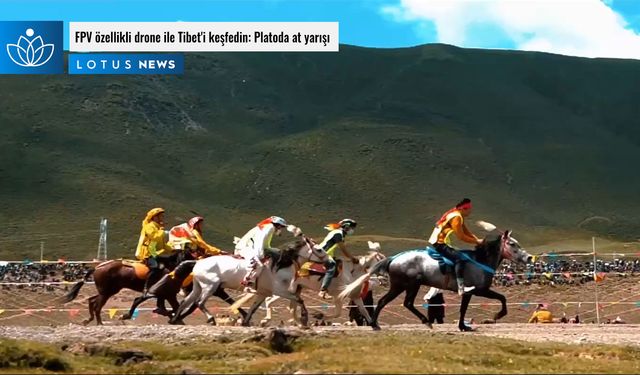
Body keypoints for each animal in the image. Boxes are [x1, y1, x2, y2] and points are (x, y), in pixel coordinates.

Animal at [62, 251, 192, 328]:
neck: (172, 270)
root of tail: (97, 268)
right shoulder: (169, 294)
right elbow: (175, 308)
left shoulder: (165, 294)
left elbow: (169, 307)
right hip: (106, 292)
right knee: (97, 306)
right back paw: (99, 323)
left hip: (108, 291)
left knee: (92, 301)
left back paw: (89, 320)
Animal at [169, 238, 324, 326]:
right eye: (319, 249)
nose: (329, 262)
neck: (280, 265)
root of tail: (197, 262)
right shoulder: (279, 291)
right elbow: (299, 299)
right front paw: (304, 318)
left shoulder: (263, 293)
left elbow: (254, 307)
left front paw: (246, 322)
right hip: (210, 287)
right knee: (199, 303)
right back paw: (210, 319)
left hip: (198, 287)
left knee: (186, 302)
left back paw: (175, 320)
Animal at [338, 229, 532, 332]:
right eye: (512, 244)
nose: (529, 257)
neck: (480, 261)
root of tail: (394, 258)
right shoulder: (478, 290)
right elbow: (501, 299)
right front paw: (496, 316)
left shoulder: (471, 293)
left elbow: (464, 309)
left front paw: (463, 326)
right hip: (405, 285)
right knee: (389, 302)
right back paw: (376, 325)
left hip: (407, 286)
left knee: (402, 303)